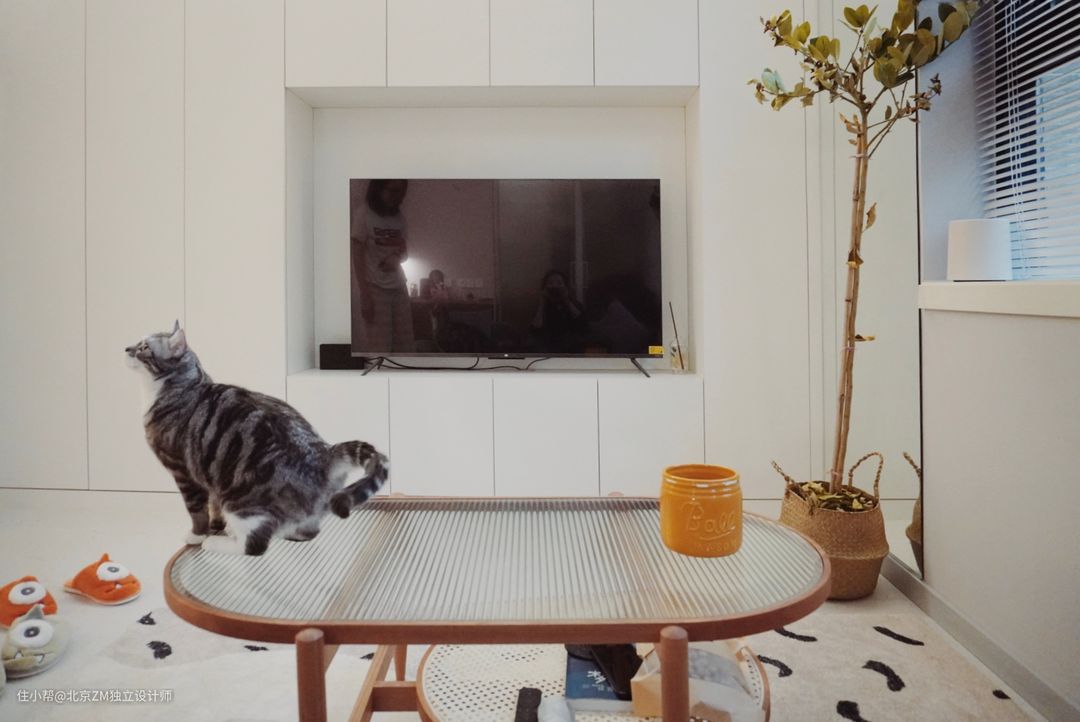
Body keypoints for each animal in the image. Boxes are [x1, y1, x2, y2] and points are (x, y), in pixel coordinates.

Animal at [126, 321, 388, 555]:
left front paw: (197, 534)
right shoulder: (208, 473)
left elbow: (197, 510)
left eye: (144, 347)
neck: (185, 386)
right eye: (137, 344)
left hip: (241, 501)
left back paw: (217, 543)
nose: (126, 348)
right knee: (309, 532)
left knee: (255, 546)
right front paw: (216, 524)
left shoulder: (183, 471)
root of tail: (325, 453)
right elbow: (213, 504)